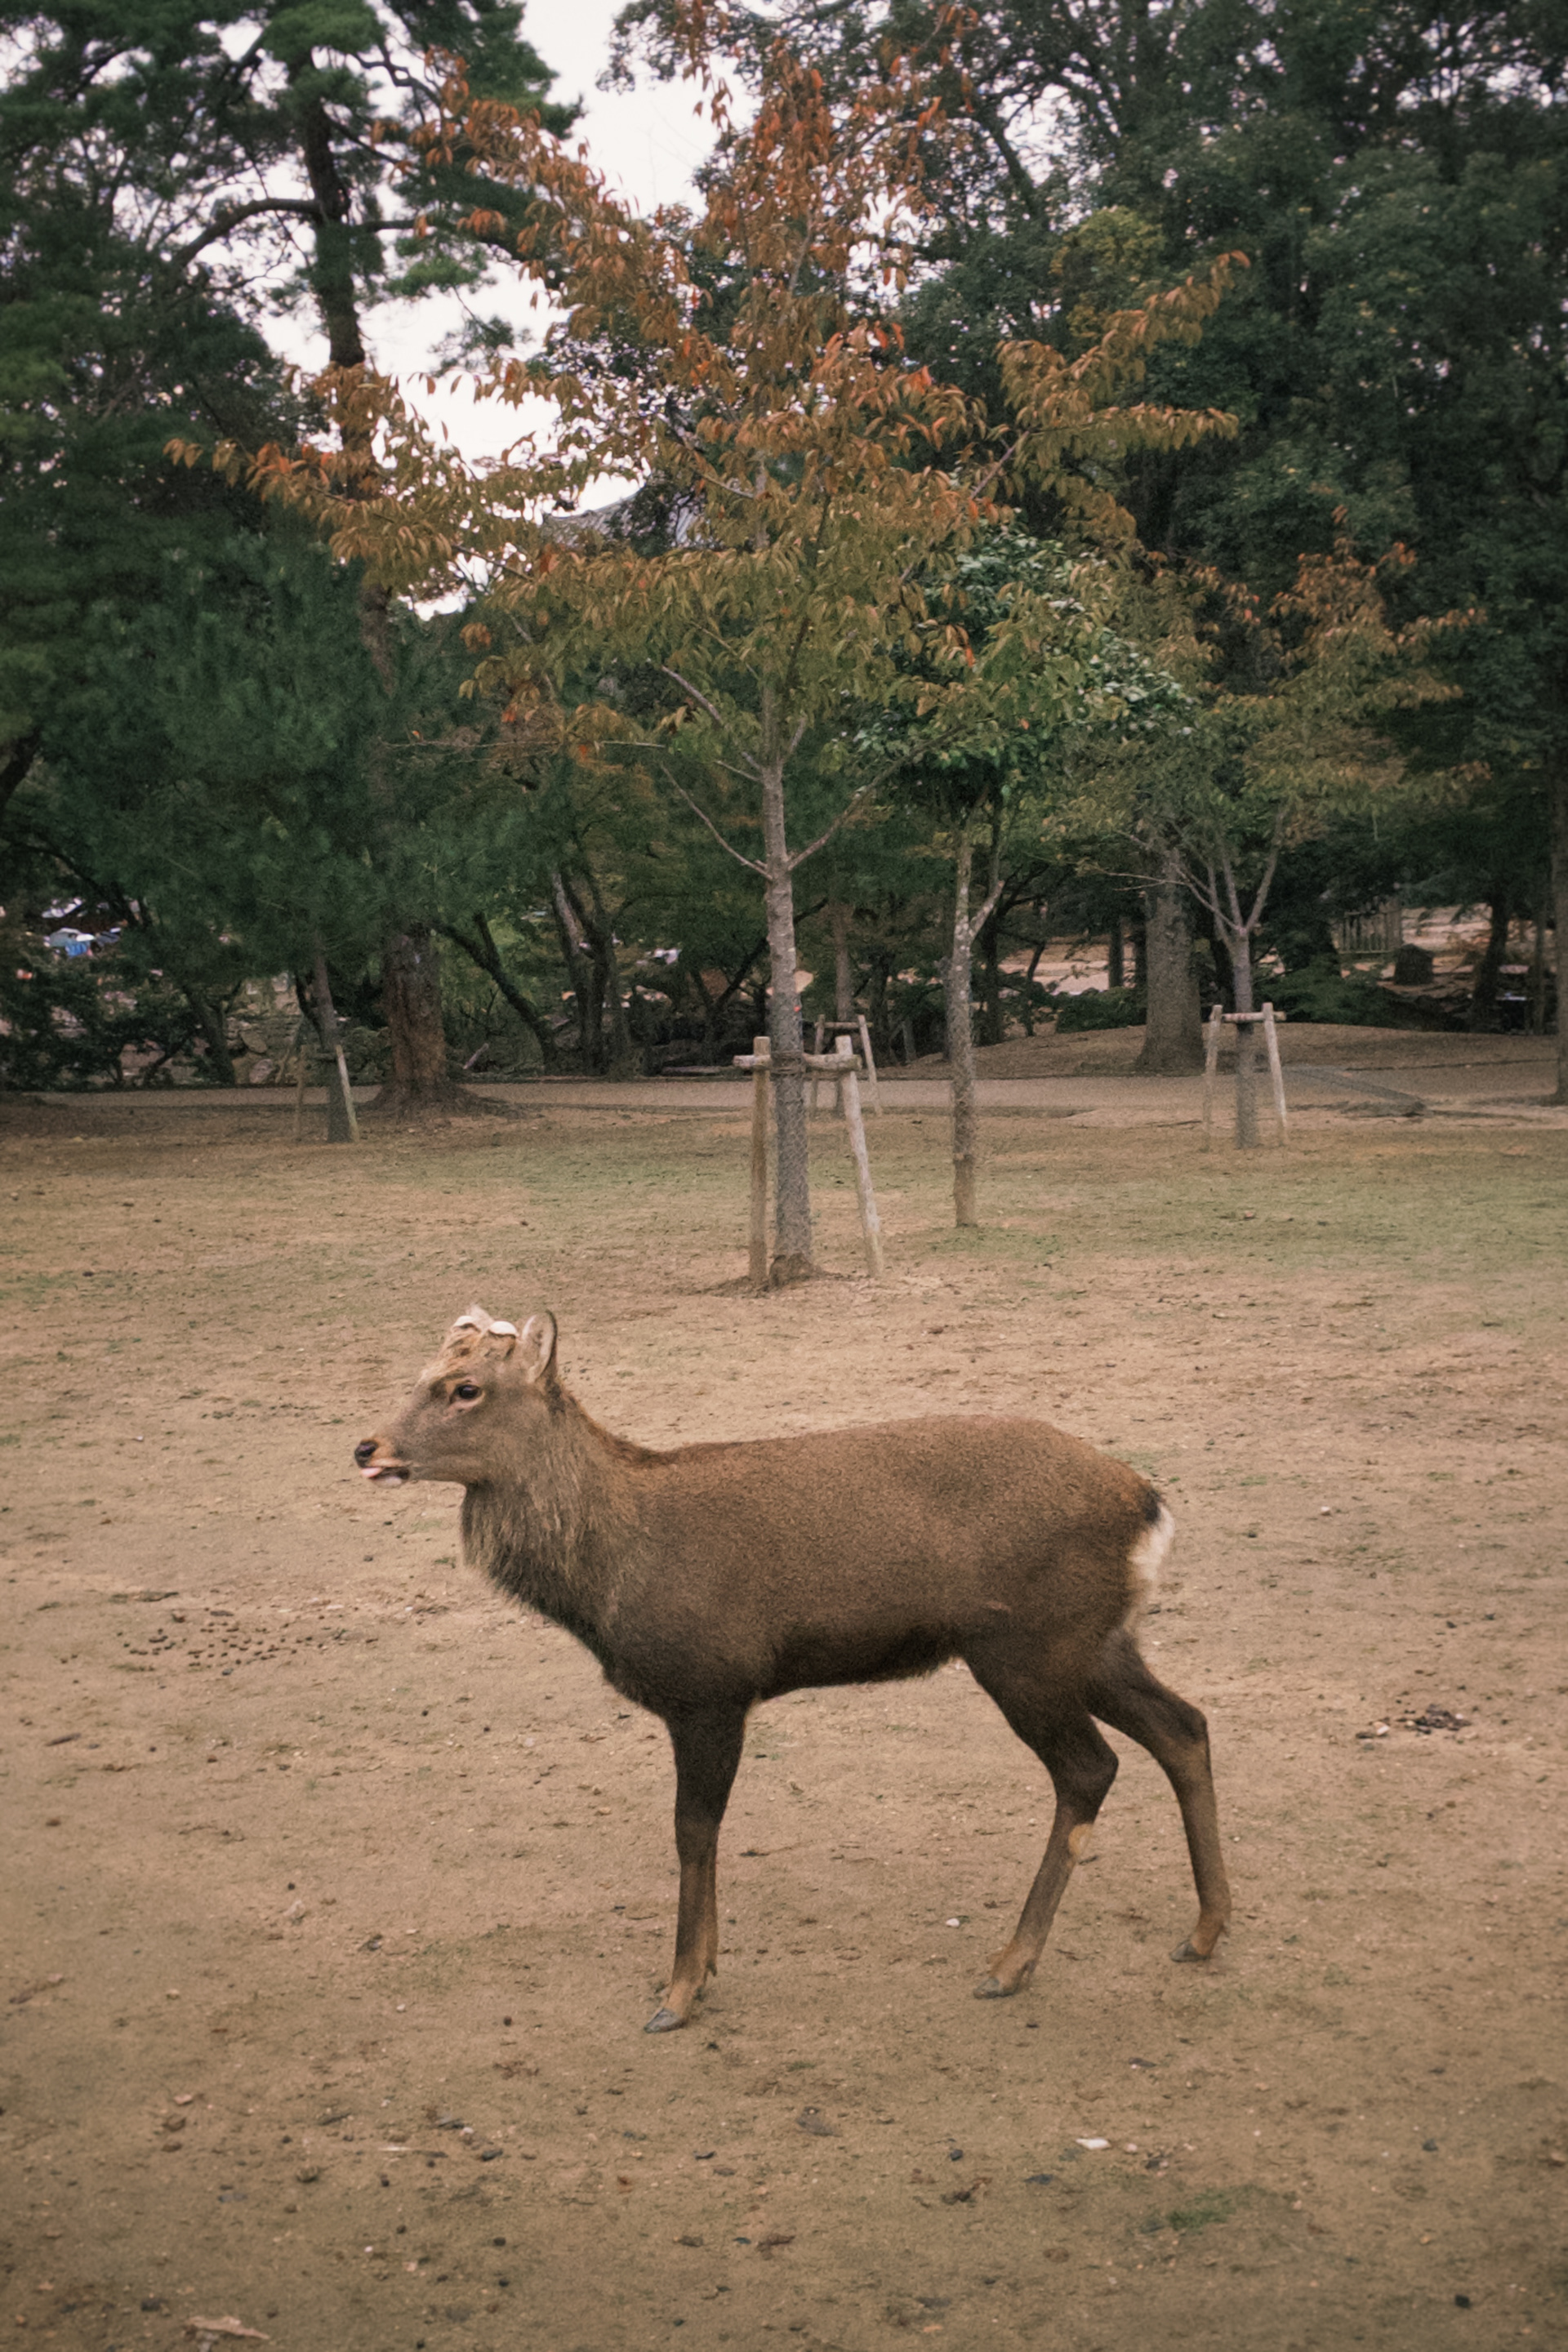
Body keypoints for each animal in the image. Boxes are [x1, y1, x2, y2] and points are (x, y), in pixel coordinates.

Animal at [355, 1307, 1231, 2034]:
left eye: (464, 1387)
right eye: (423, 1374)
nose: (367, 1447)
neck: (611, 1581)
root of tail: (1148, 1502)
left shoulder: (711, 1686)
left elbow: (692, 1830)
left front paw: (678, 1991)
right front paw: (704, 1969)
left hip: (1027, 1648)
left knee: (1090, 1766)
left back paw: (1010, 1964)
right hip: (1098, 1642)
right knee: (1183, 1725)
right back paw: (1205, 1930)